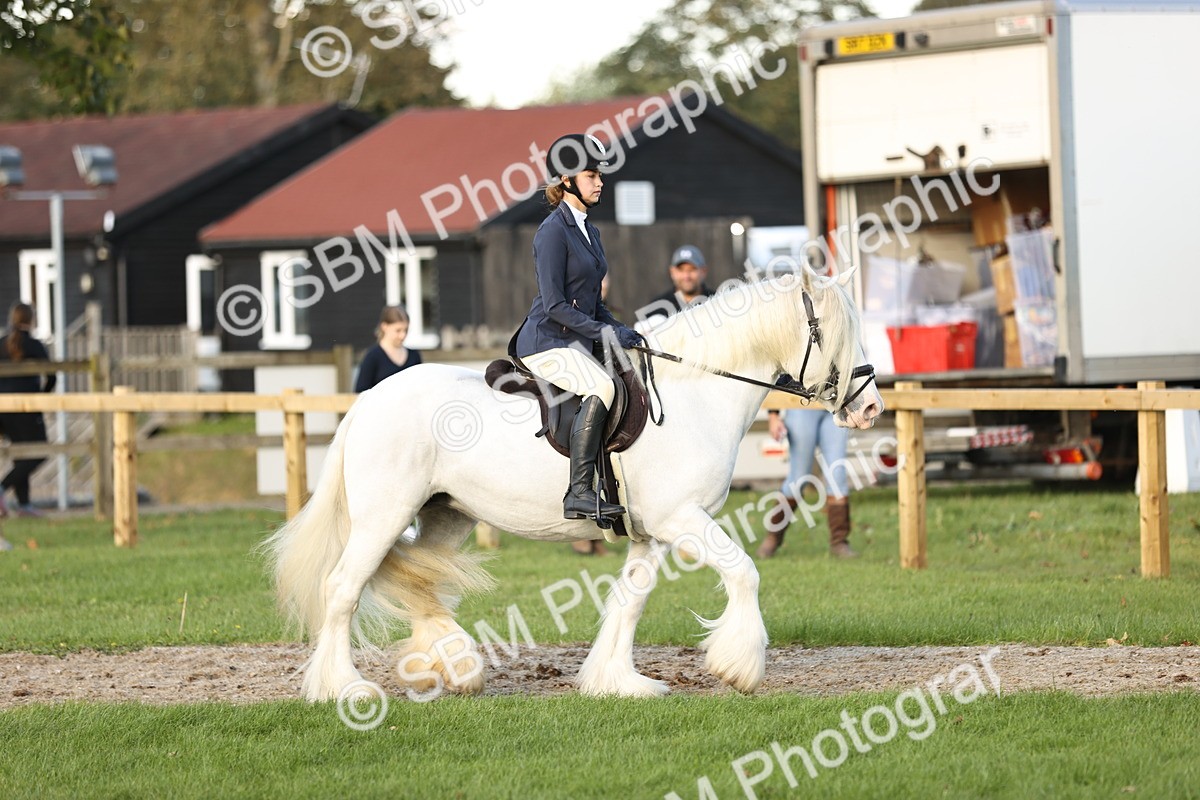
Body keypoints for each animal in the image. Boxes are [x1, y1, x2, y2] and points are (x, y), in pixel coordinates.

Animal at [263, 268, 884, 701]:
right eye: (834, 333)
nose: (871, 408)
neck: (696, 392)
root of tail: (369, 399)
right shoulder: (683, 520)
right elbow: (744, 572)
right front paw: (740, 667)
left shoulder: (652, 533)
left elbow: (630, 601)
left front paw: (617, 681)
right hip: (383, 516)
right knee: (343, 590)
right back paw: (343, 688)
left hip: (446, 514)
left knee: (421, 581)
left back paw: (456, 669)